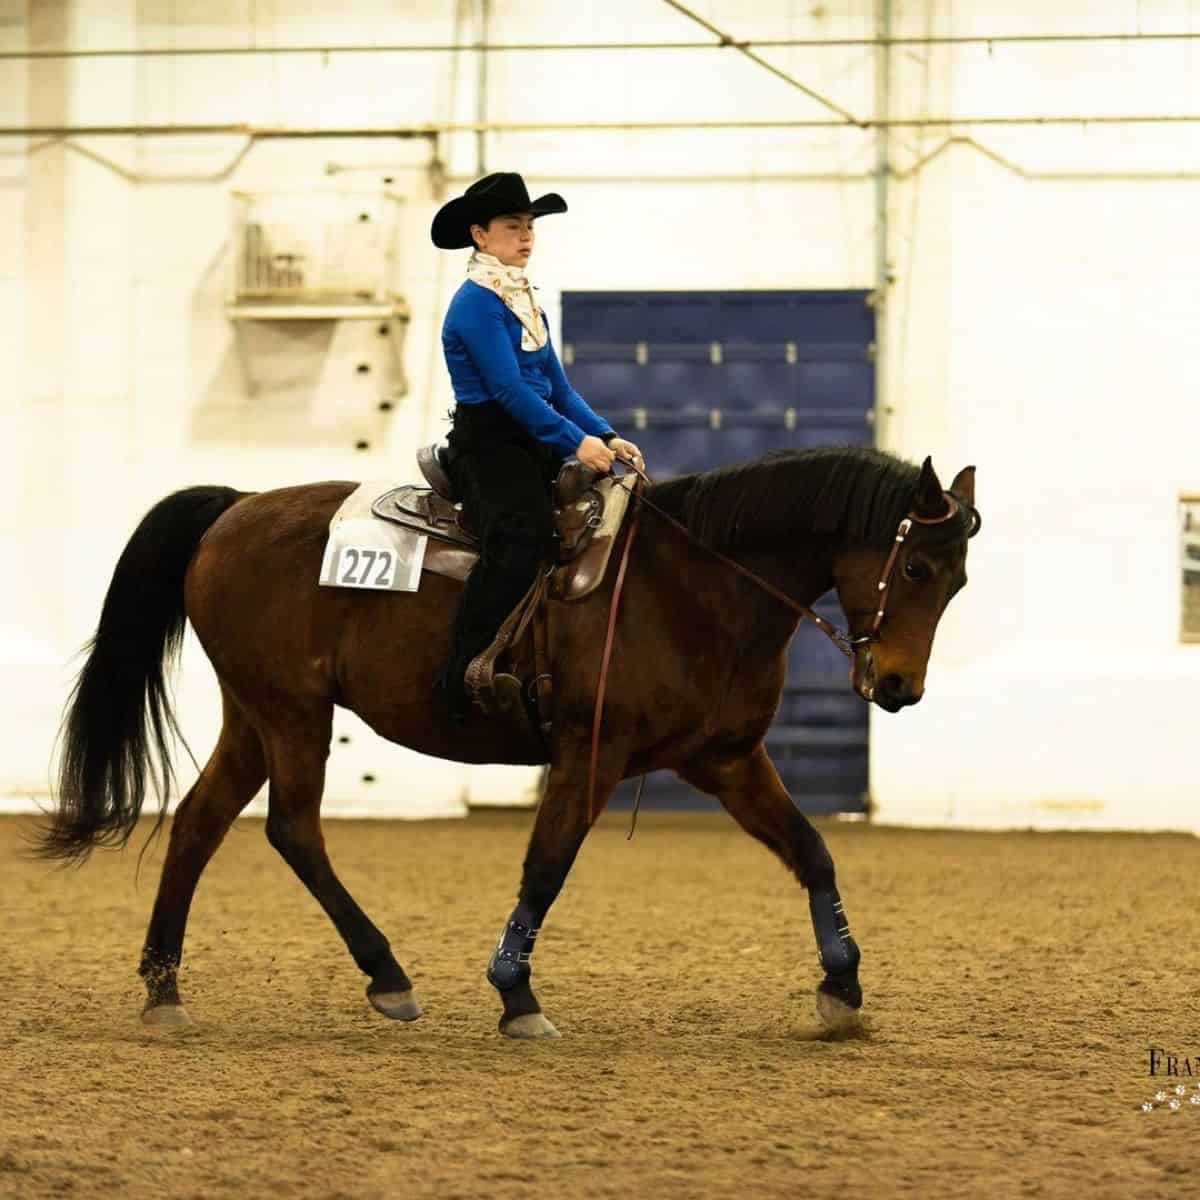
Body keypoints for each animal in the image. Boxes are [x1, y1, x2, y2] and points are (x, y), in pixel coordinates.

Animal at [37, 446, 979, 1036]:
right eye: (917, 567)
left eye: (960, 580)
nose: (900, 687)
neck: (691, 585)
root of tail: (232, 512)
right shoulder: (591, 756)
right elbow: (547, 867)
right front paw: (516, 994)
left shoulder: (727, 760)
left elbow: (813, 852)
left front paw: (842, 984)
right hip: (294, 714)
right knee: (292, 830)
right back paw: (387, 977)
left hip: (253, 717)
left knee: (198, 826)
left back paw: (164, 988)